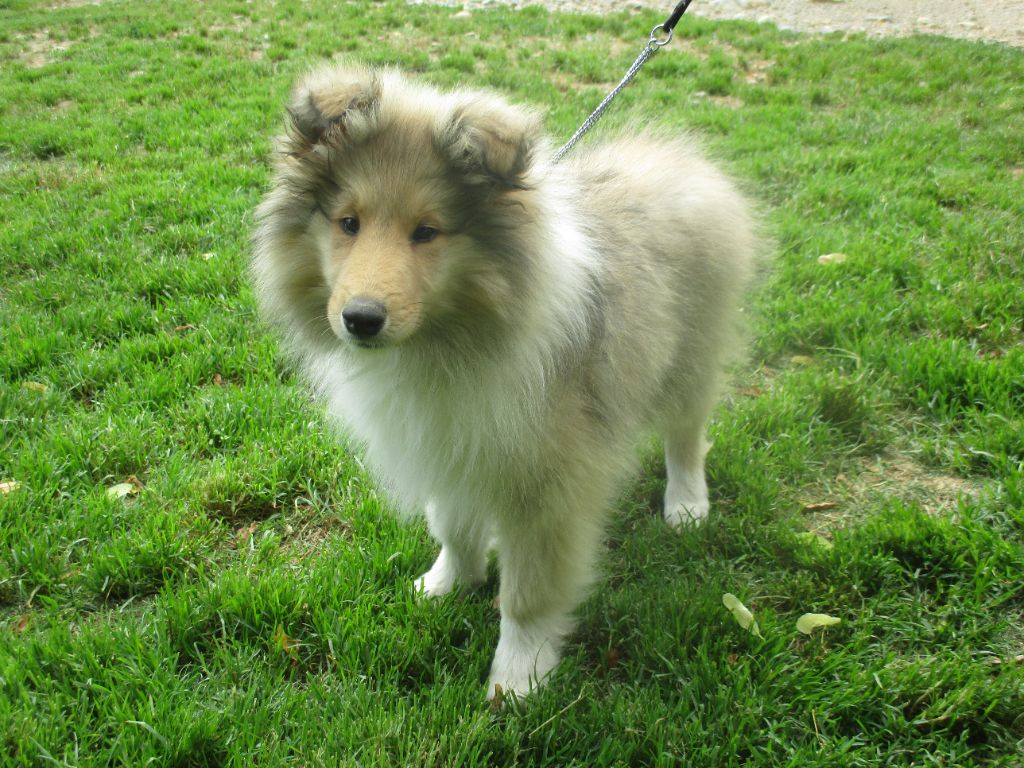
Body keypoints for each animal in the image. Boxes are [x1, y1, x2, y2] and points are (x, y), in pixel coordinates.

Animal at [252, 64, 759, 699]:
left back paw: (687, 503)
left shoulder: (547, 481)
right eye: (348, 222)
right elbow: (451, 523)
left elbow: (528, 592)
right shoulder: (450, 438)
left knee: (687, 433)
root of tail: (676, 157)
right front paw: (445, 583)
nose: (361, 319)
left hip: (690, 353)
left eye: (427, 231)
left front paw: (518, 677)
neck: (450, 337)